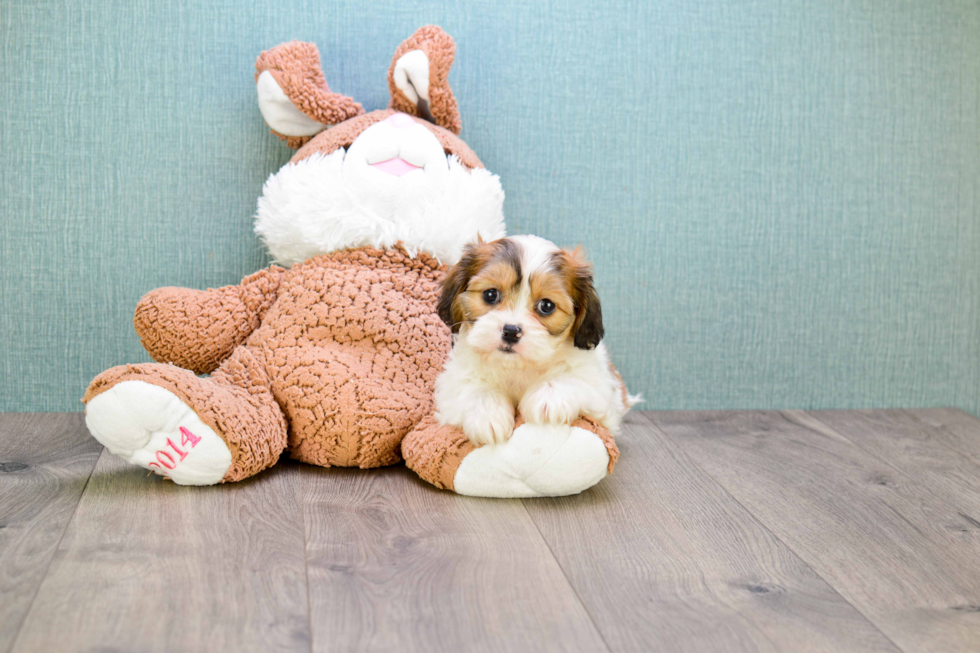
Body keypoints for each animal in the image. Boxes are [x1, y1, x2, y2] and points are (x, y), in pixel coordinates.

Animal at [434, 236, 636, 448]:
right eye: (490, 294)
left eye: (546, 305)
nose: (511, 331)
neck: (517, 367)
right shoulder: (452, 382)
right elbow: (473, 387)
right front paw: (487, 415)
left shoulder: (600, 386)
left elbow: (575, 379)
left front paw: (548, 398)